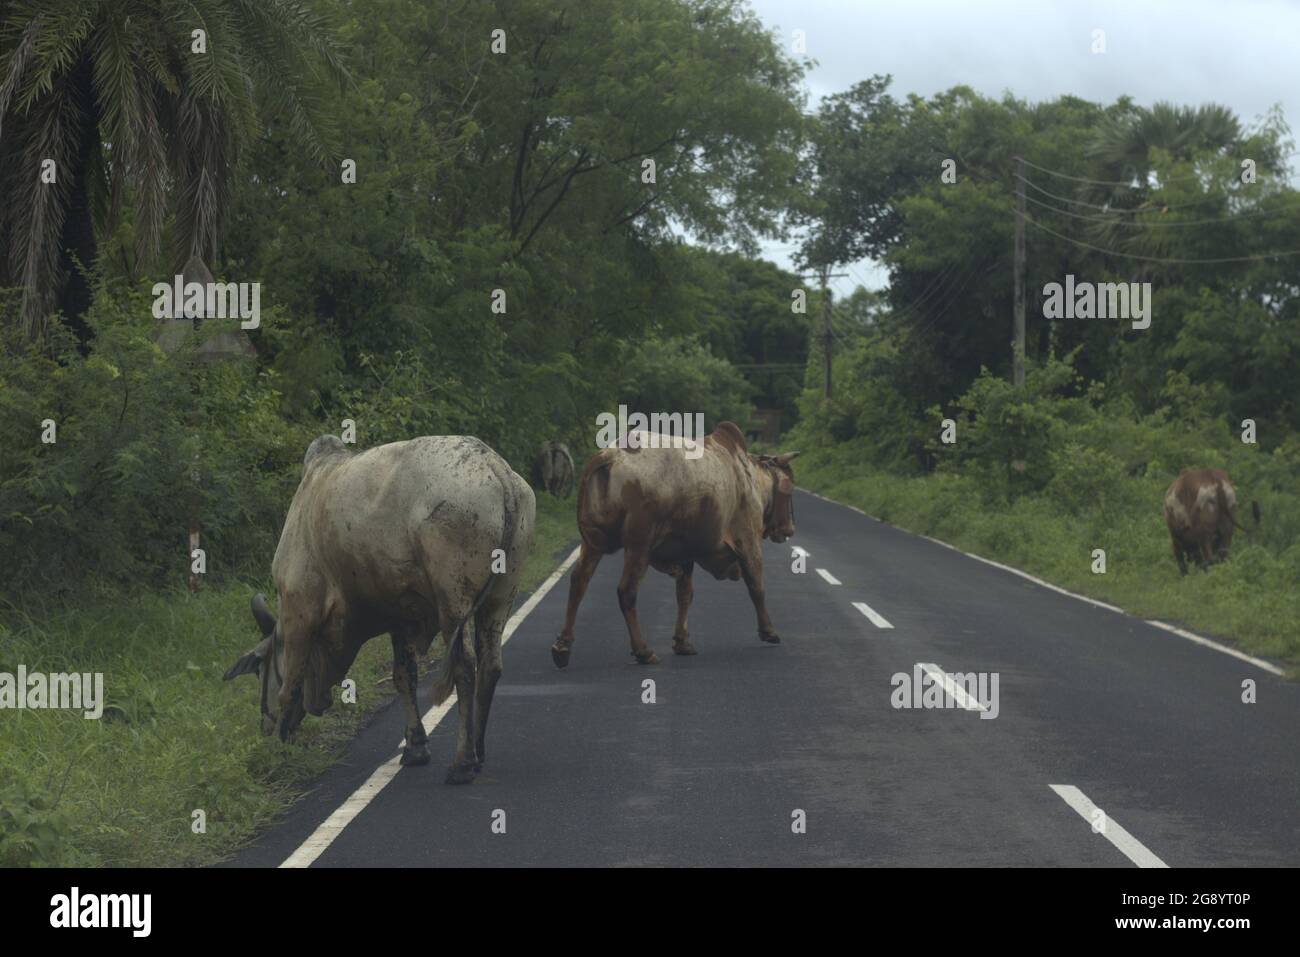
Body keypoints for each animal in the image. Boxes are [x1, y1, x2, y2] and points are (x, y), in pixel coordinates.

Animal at [551, 421, 795, 670]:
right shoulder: (748, 541)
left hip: (592, 544)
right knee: (626, 591)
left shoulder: (684, 553)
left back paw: (562, 647)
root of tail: (611, 454)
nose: (789, 530)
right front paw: (769, 631)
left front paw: (682, 642)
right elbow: (757, 587)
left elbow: (685, 594)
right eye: (789, 490)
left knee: (579, 581)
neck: (750, 477)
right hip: (639, 546)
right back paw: (643, 651)